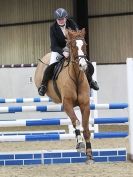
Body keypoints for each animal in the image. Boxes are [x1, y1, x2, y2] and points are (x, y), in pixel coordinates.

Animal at [34, 28, 93, 162]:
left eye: (85, 45)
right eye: (73, 46)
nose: (83, 65)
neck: (76, 77)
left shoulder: (85, 105)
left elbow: (86, 127)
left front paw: (89, 154)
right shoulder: (67, 104)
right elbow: (76, 122)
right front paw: (80, 144)